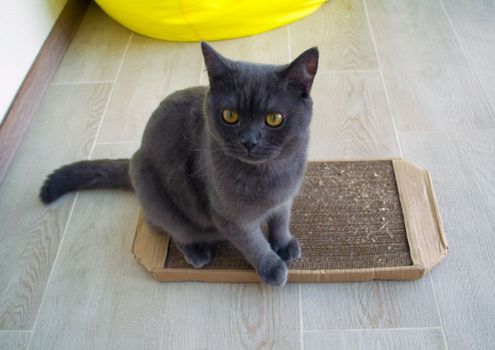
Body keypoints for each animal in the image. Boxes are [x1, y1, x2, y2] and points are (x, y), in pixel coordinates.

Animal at [40, 41, 320, 288]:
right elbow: (254, 245)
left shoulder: (285, 199)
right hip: (156, 196)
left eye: (274, 119)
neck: (272, 172)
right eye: (230, 116)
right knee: (169, 228)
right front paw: (273, 268)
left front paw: (284, 245)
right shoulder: (231, 218)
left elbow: (280, 222)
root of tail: (135, 155)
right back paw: (197, 253)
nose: (249, 141)